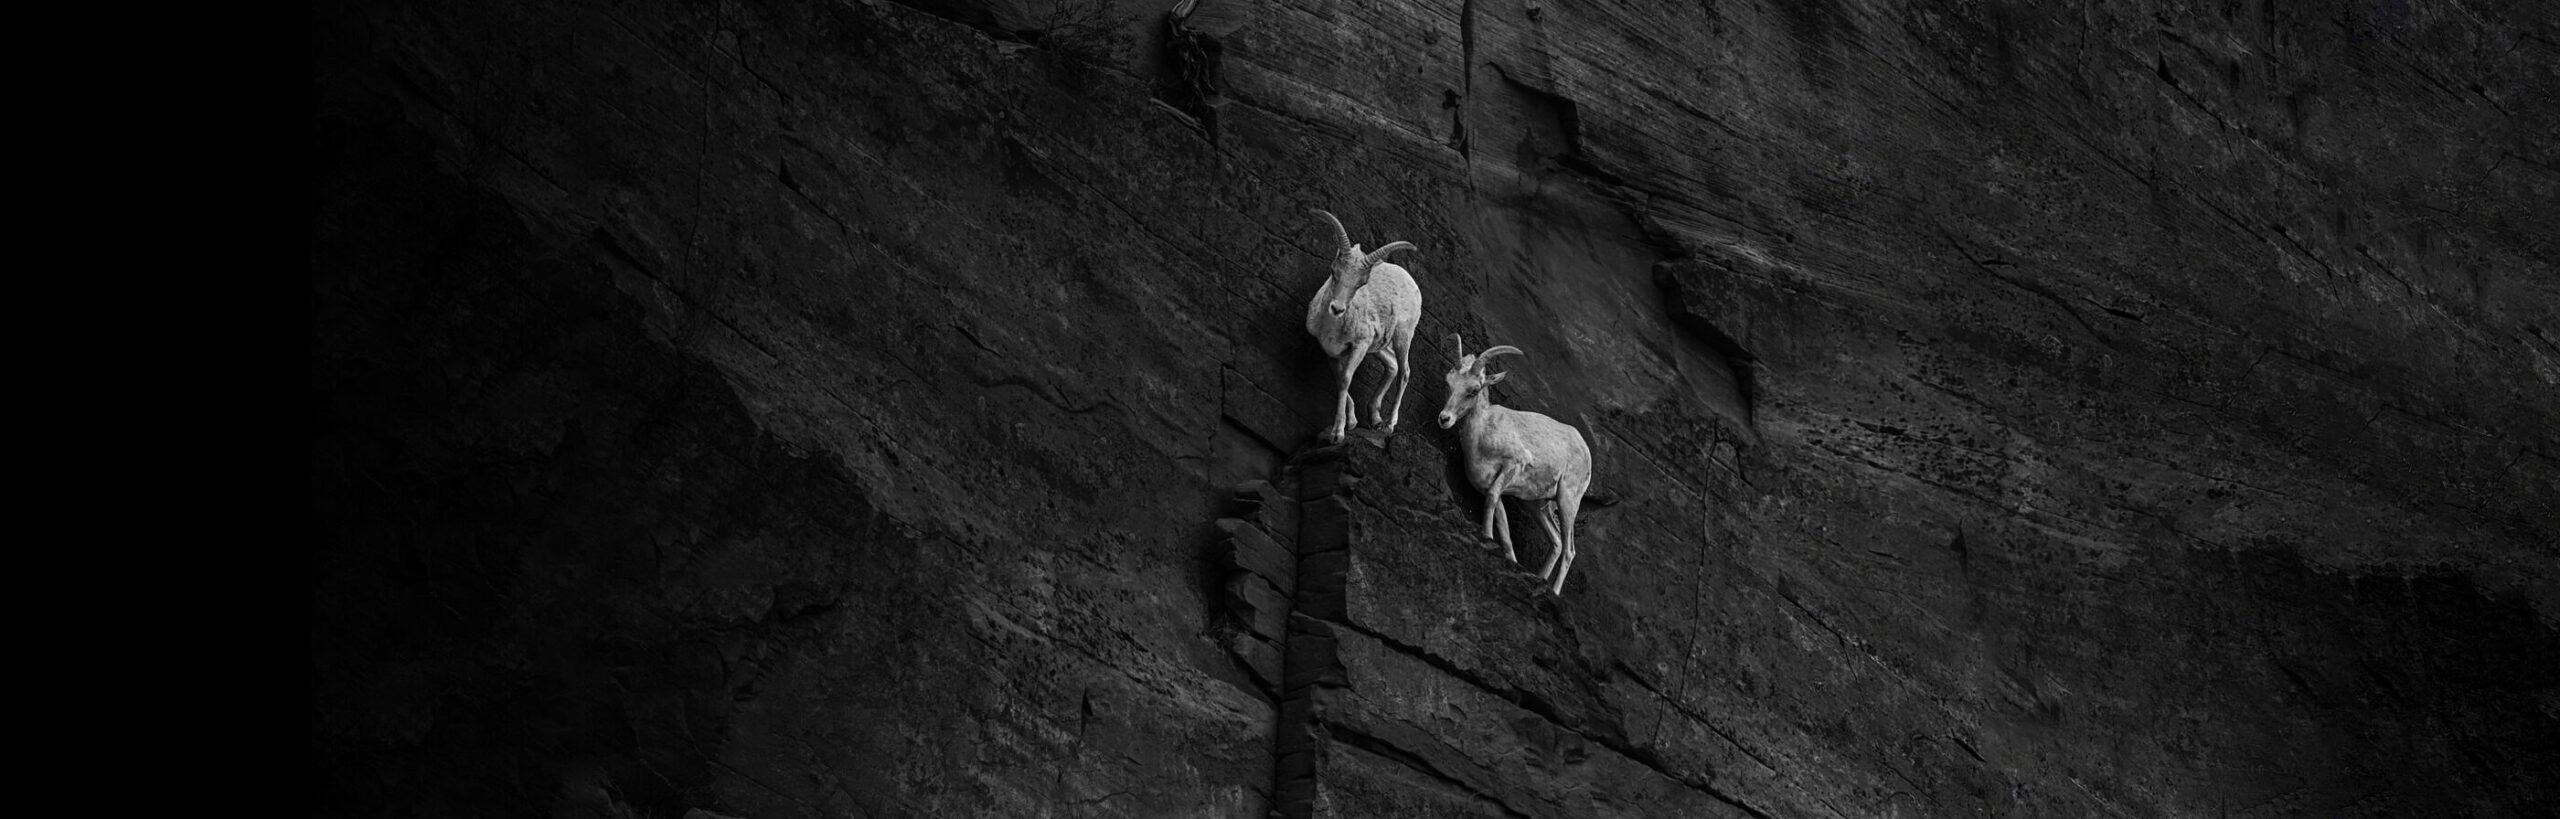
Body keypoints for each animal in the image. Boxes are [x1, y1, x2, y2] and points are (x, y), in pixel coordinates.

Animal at [1304, 209, 1421, 444]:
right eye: (1333, 272)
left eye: (1361, 283)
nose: (1337, 309)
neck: (1331, 329)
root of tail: (1411, 282)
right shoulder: (1332, 352)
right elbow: (1341, 379)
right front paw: (1351, 422)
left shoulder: (1359, 345)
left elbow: (1346, 379)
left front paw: (1337, 434)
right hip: (1378, 346)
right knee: (1392, 366)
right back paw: (1375, 420)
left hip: (1402, 336)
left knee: (1404, 371)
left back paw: (1389, 425)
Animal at [1436, 333, 1594, 596]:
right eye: (1449, 382)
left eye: (1473, 390)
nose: (1444, 418)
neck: (1482, 436)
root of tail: (1584, 448)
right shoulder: (1494, 486)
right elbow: (1503, 524)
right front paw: (1509, 558)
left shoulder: (1513, 465)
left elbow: (1491, 501)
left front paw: (1485, 536)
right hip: (1536, 504)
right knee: (1556, 541)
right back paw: (1539, 579)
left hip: (1568, 500)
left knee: (1569, 550)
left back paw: (1554, 592)